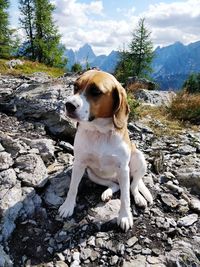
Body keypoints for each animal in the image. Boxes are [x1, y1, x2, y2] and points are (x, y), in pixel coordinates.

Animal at [58, 70, 152, 231]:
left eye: (96, 91)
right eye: (75, 86)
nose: (68, 105)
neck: (99, 132)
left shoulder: (123, 169)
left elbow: (125, 197)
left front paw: (125, 216)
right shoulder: (79, 164)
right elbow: (73, 188)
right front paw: (68, 206)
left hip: (138, 159)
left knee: (132, 185)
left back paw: (139, 197)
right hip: (91, 174)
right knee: (115, 185)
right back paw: (107, 193)